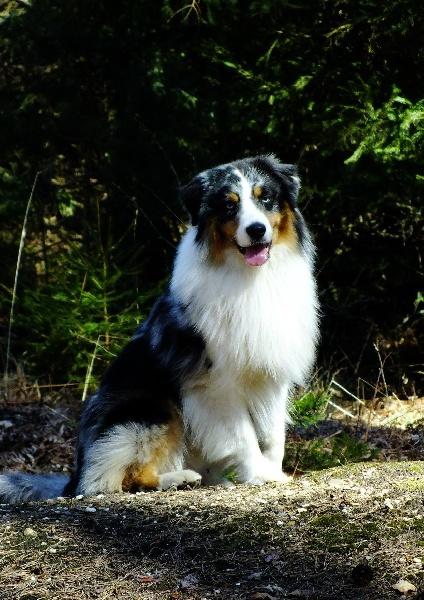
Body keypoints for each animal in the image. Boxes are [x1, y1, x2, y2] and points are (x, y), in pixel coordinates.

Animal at [0, 155, 318, 502]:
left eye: (266, 197)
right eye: (228, 205)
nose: (257, 229)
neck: (249, 277)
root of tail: (73, 474)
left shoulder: (270, 373)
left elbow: (274, 435)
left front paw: (273, 471)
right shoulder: (215, 383)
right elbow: (243, 435)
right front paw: (260, 474)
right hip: (151, 410)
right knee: (115, 480)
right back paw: (179, 479)